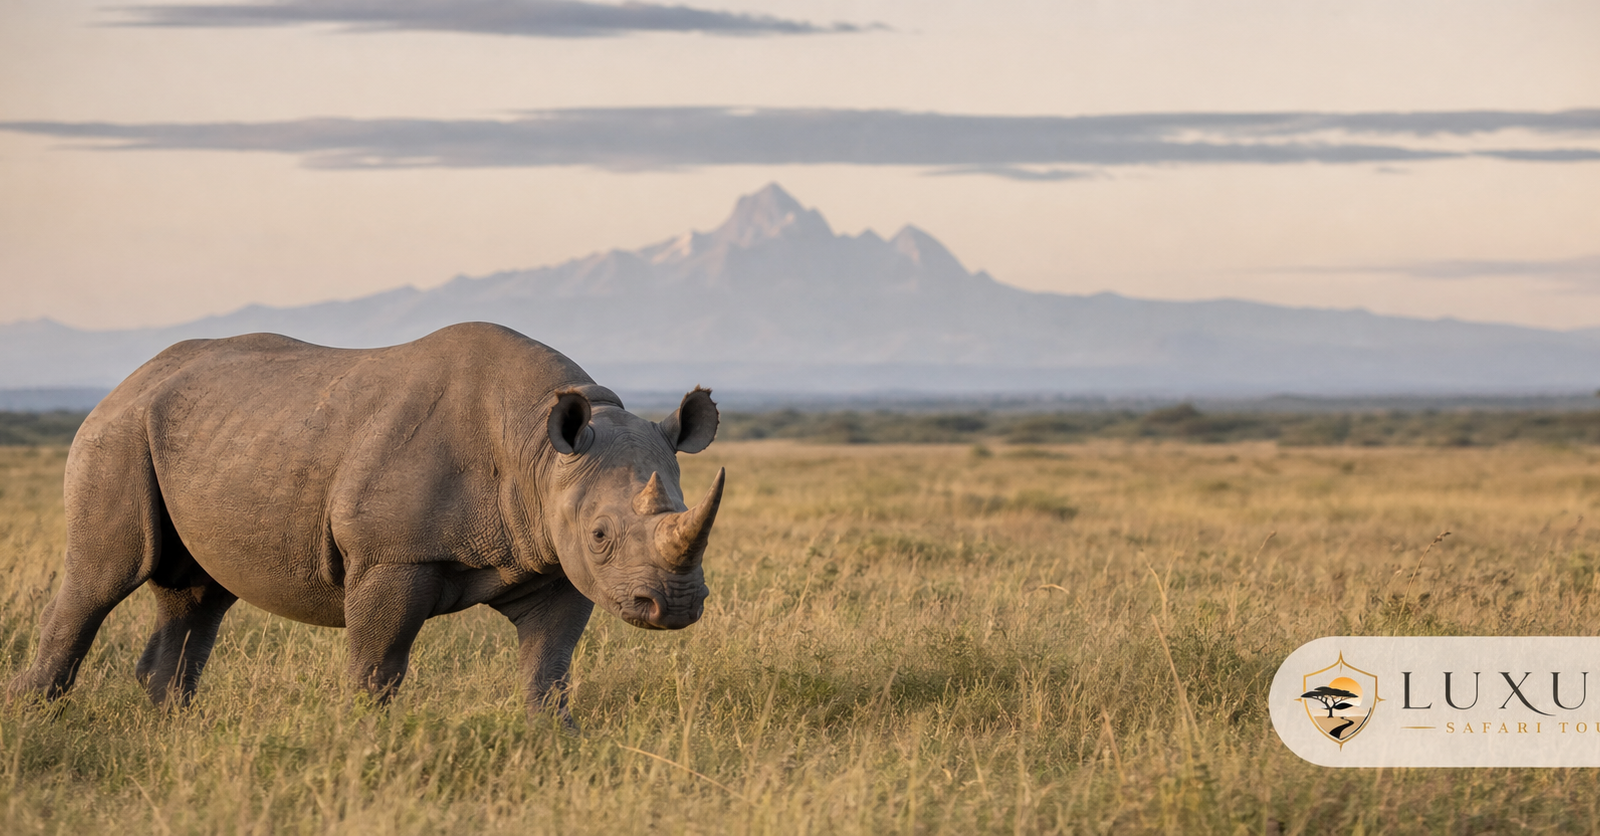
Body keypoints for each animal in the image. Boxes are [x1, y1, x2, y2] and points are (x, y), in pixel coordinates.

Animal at [7, 322, 724, 725]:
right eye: (602, 535)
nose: (674, 607)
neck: (538, 451)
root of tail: (129, 381)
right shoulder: (392, 555)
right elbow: (377, 665)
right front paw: (362, 743)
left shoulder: (554, 558)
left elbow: (548, 668)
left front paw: (553, 743)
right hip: (116, 434)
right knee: (101, 578)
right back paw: (33, 722)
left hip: (204, 434)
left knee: (198, 594)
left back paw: (170, 731)